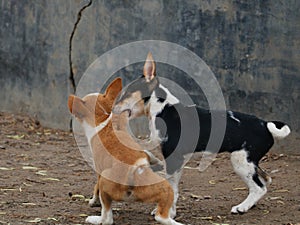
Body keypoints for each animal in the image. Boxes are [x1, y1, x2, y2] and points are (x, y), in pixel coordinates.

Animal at [68, 78, 184, 225]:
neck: (104, 119)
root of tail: (133, 173)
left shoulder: (99, 172)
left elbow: (96, 187)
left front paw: (93, 201)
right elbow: (149, 154)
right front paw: (157, 162)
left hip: (105, 182)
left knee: (107, 218)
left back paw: (94, 219)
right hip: (165, 189)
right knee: (162, 216)